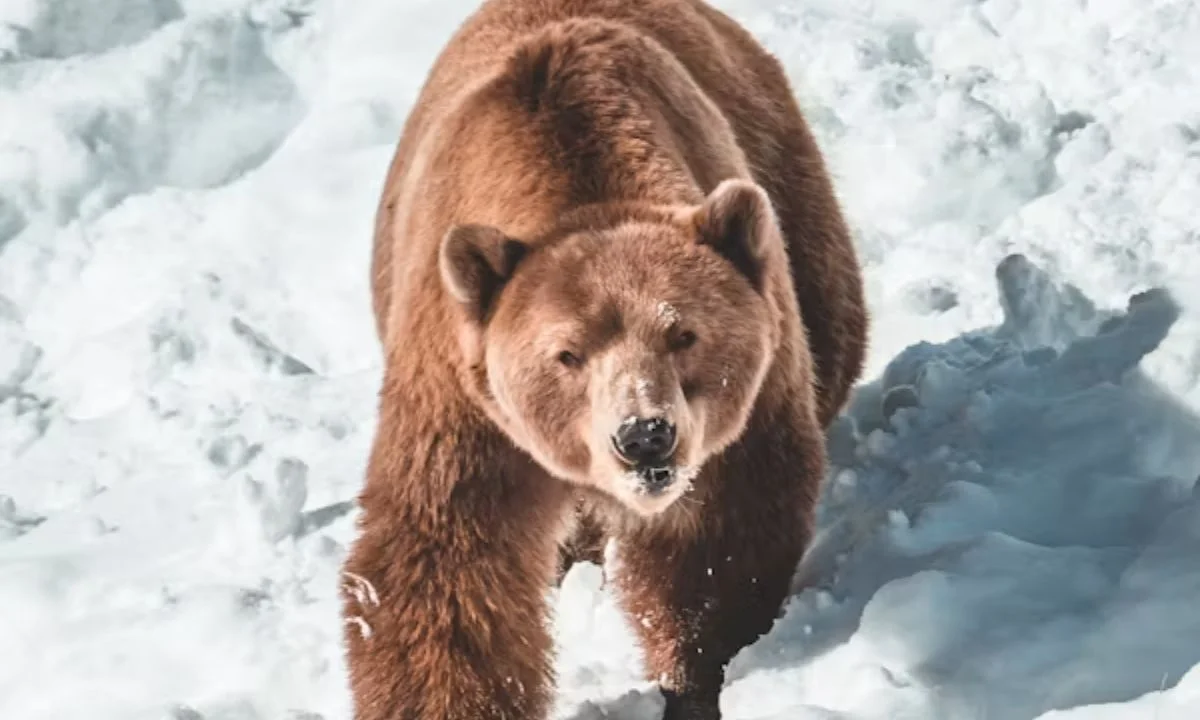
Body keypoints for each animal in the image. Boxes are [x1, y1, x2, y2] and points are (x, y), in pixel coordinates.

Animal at [341, 0, 868, 718]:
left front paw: (695, 673)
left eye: (684, 334)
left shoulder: (743, 413)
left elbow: (717, 544)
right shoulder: (464, 399)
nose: (644, 436)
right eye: (567, 355)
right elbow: (445, 567)